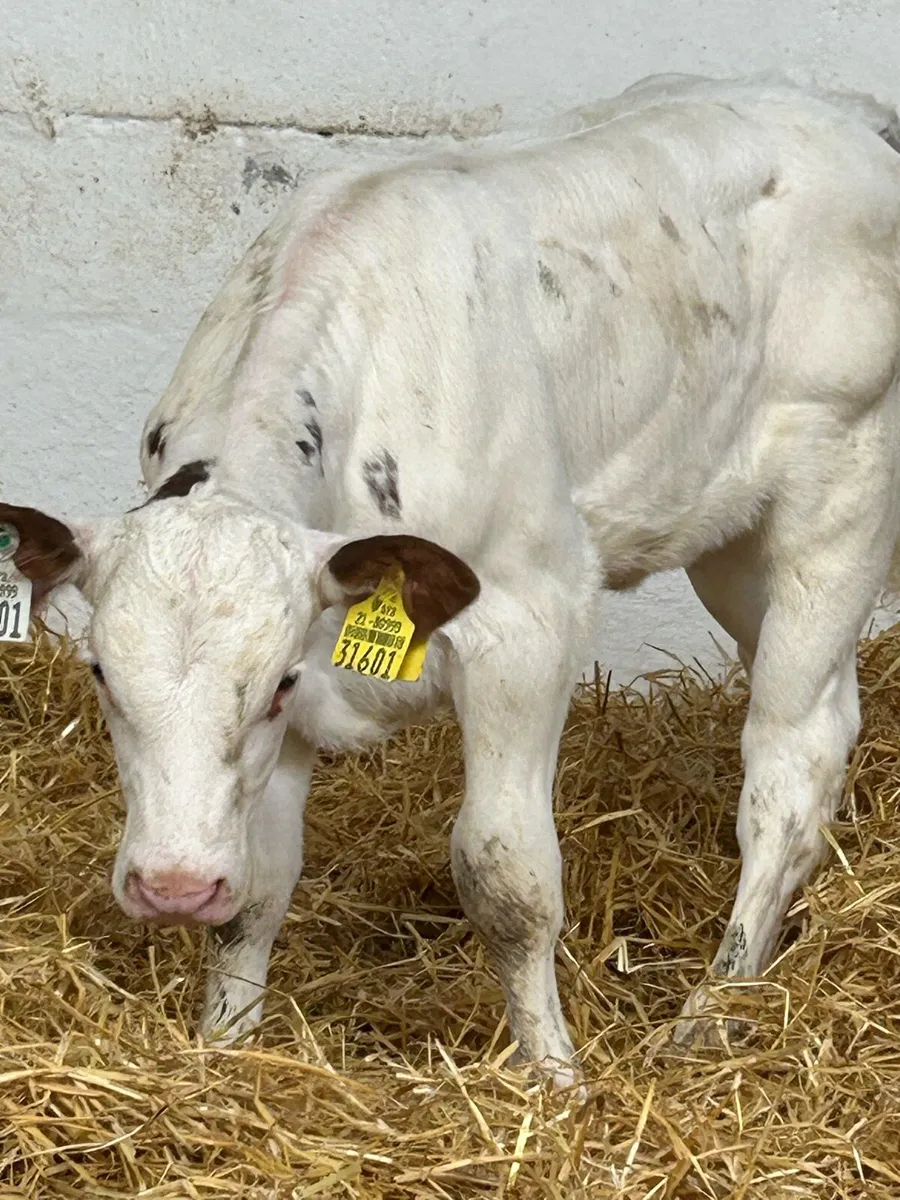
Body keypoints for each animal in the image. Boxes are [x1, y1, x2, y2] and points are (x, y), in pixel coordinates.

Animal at [3, 73, 900, 1088]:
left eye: (274, 684)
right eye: (99, 675)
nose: (172, 885)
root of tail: (842, 110)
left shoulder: (526, 624)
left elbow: (505, 877)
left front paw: (555, 1080)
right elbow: (260, 887)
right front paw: (222, 1045)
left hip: (841, 490)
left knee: (792, 760)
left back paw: (716, 1006)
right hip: (731, 543)